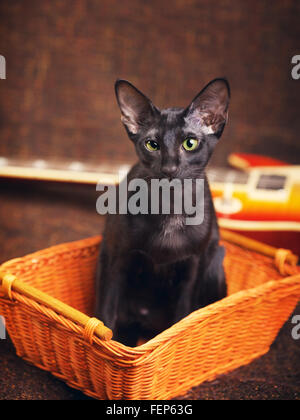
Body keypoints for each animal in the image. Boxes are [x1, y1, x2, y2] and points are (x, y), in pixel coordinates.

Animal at [95, 78, 231, 344]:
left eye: (190, 143)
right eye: (152, 144)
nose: (169, 169)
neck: (171, 206)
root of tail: (145, 321)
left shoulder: (193, 267)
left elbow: (181, 319)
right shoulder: (116, 257)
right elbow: (106, 317)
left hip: (214, 263)